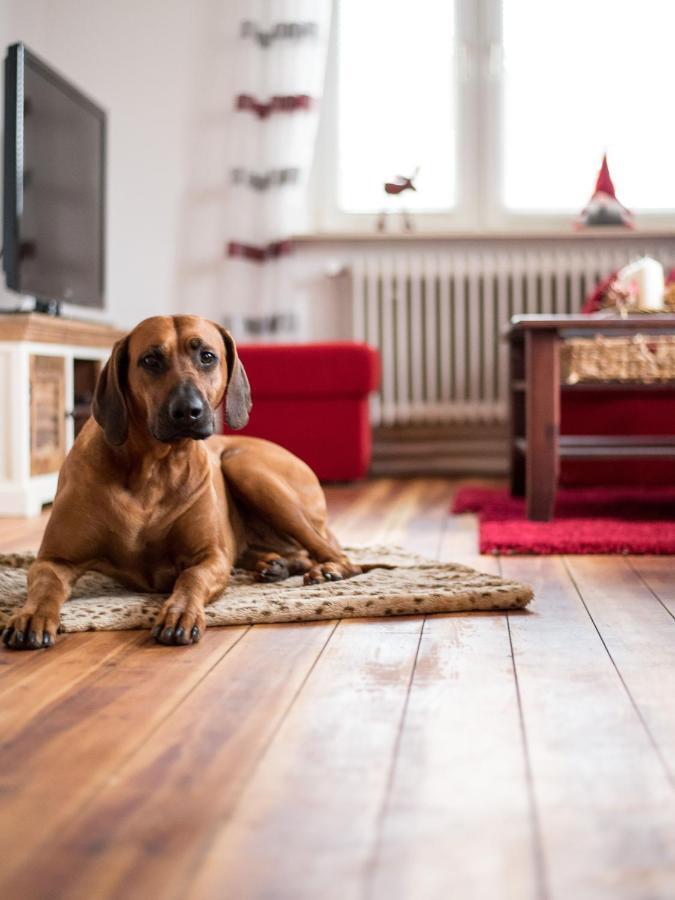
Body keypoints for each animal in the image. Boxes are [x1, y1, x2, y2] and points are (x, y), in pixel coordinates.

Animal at [2, 312, 362, 652]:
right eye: (150, 360)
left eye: (207, 356)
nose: (188, 410)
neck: (154, 469)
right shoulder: (54, 559)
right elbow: (46, 585)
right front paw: (31, 616)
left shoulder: (210, 557)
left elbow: (192, 577)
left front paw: (179, 612)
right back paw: (275, 564)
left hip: (246, 468)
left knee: (335, 554)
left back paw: (324, 569)